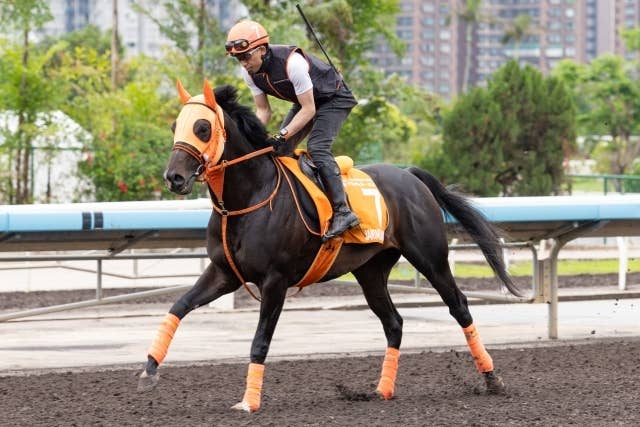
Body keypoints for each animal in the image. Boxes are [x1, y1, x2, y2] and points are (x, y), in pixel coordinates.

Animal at [137, 80, 522, 412]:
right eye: (174, 125)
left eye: (202, 127)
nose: (174, 177)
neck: (248, 198)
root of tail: (410, 175)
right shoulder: (224, 273)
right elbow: (178, 307)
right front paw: (148, 370)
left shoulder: (275, 281)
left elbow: (260, 341)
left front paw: (249, 402)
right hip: (371, 271)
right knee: (394, 322)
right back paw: (382, 389)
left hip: (431, 258)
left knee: (459, 306)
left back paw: (492, 379)